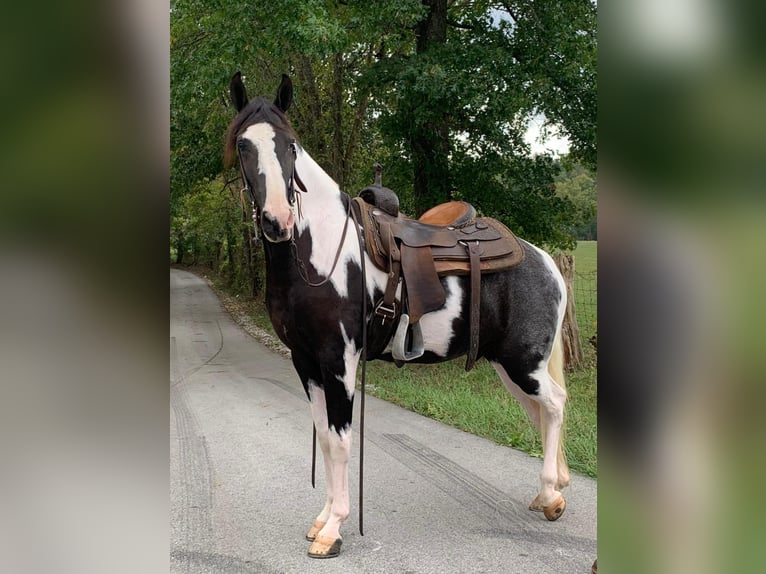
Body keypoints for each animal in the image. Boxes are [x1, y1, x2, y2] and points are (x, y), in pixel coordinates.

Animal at [225, 73, 572, 564]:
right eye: (243, 145)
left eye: (290, 146)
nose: (278, 220)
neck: (319, 253)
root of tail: (543, 260)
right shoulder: (305, 361)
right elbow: (323, 435)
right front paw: (321, 521)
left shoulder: (339, 360)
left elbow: (340, 439)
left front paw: (334, 529)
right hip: (511, 366)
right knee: (539, 410)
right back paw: (549, 493)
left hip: (524, 363)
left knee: (555, 404)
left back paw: (551, 496)